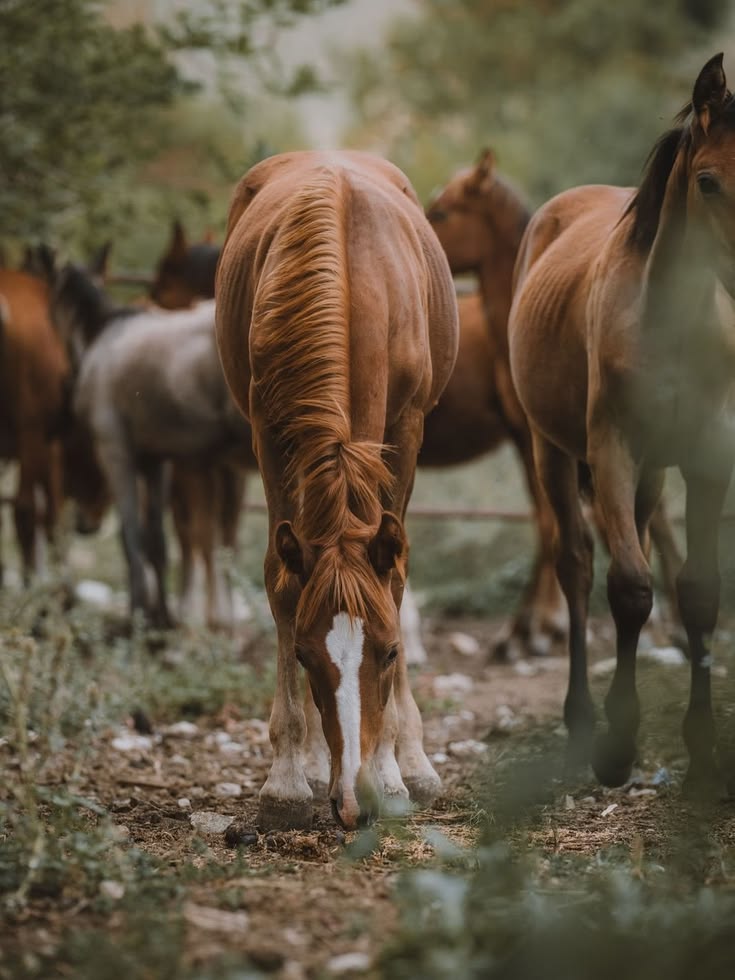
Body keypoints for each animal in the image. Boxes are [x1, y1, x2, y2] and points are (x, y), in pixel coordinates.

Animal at [50, 265, 251, 628]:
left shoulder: (116, 450)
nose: (83, 525)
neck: (107, 334)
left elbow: (132, 538)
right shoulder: (157, 460)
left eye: (74, 459)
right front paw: (163, 618)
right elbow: (159, 540)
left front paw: (139, 617)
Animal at [216, 150, 459, 830]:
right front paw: (286, 778)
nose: (352, 804)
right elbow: (281, 582)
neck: (353, 283)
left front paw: (393, 771)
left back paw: (411, 765)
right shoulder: (269, 435)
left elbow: (395, 579)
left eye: (392, 652)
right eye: (304, 657)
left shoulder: (406, 429)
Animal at [508, 53, 735, 794]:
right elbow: (630, 588)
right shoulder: (611, 449)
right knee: (578, 566)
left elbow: (696, 591)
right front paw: (617, 744)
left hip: (652, 473)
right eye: (707, 181)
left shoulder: (704, 457)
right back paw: (583, 718)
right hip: (550, 450)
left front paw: (702, 748)